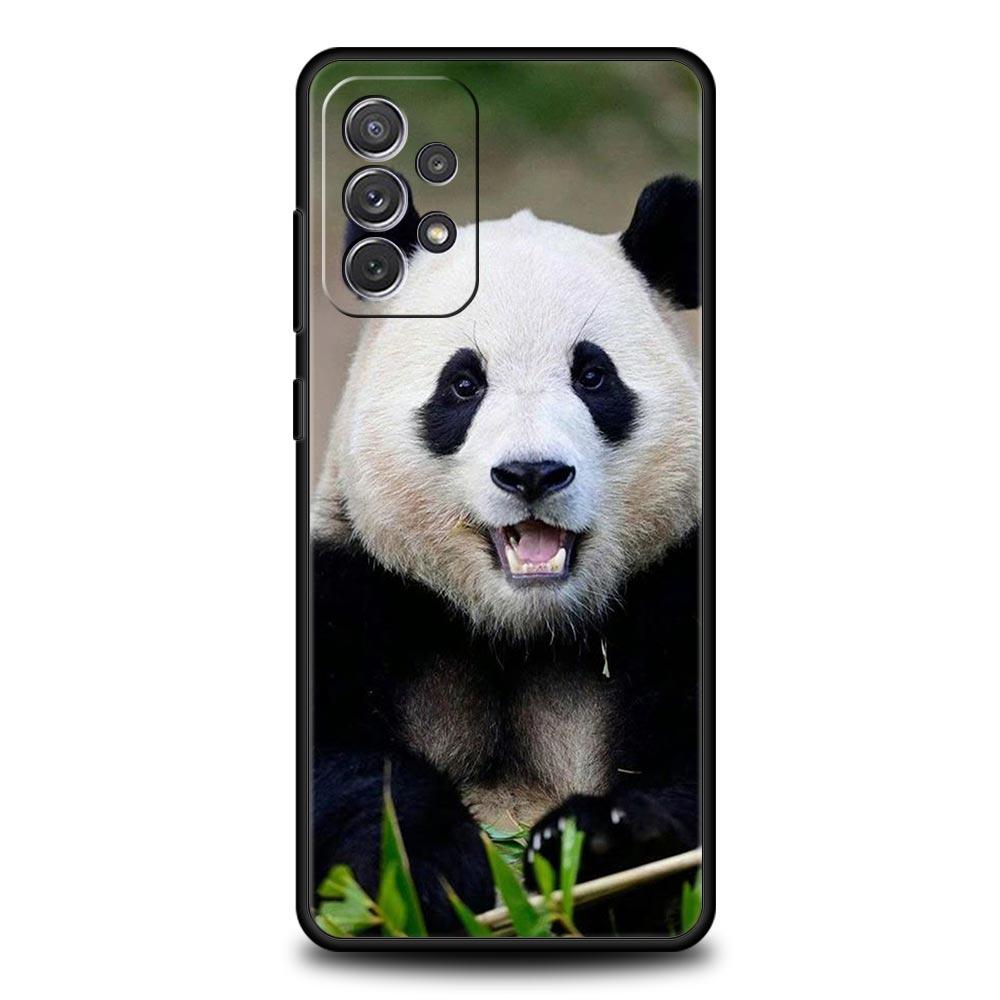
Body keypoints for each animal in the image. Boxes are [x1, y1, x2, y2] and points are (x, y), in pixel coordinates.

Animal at [311, 175, 703, 934]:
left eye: (592, 376)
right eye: (464, 384)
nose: (532, 474)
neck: (521, 630)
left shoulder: (674, 586)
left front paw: (602, 843)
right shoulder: (354, 585)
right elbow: (345, 766)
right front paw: (428, 868)